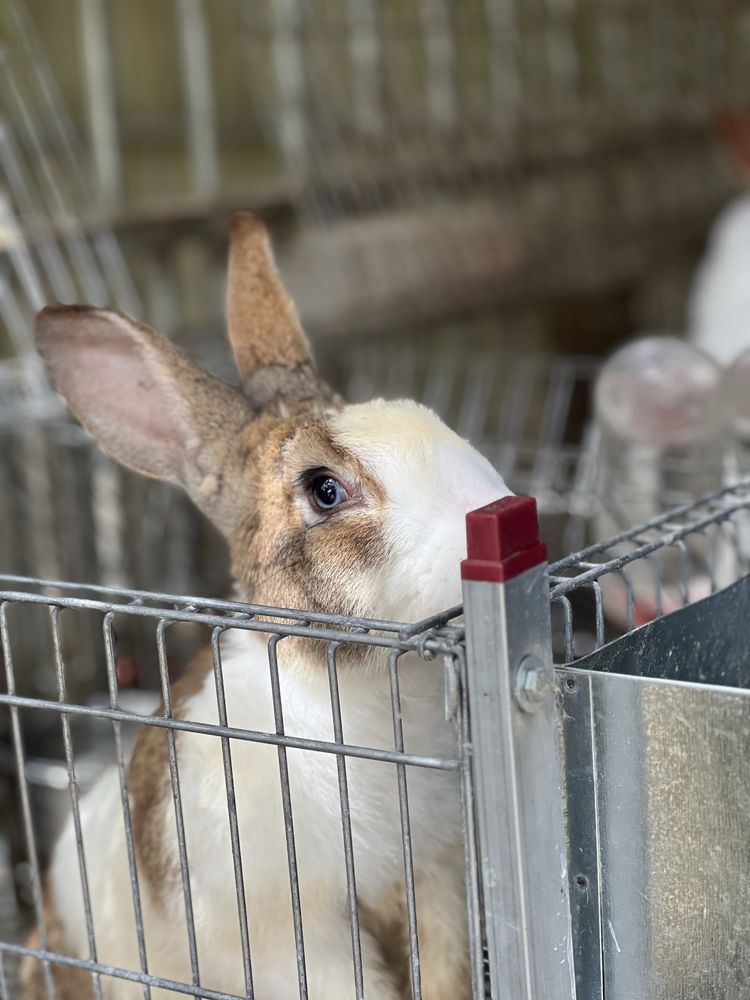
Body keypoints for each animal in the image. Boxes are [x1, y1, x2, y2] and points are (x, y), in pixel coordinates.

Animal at [20, 213, 512, 1000]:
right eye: (324, 490)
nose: (500, 508)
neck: (351, 693)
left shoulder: (435, 887)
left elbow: (443, 973)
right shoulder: (290, 932)